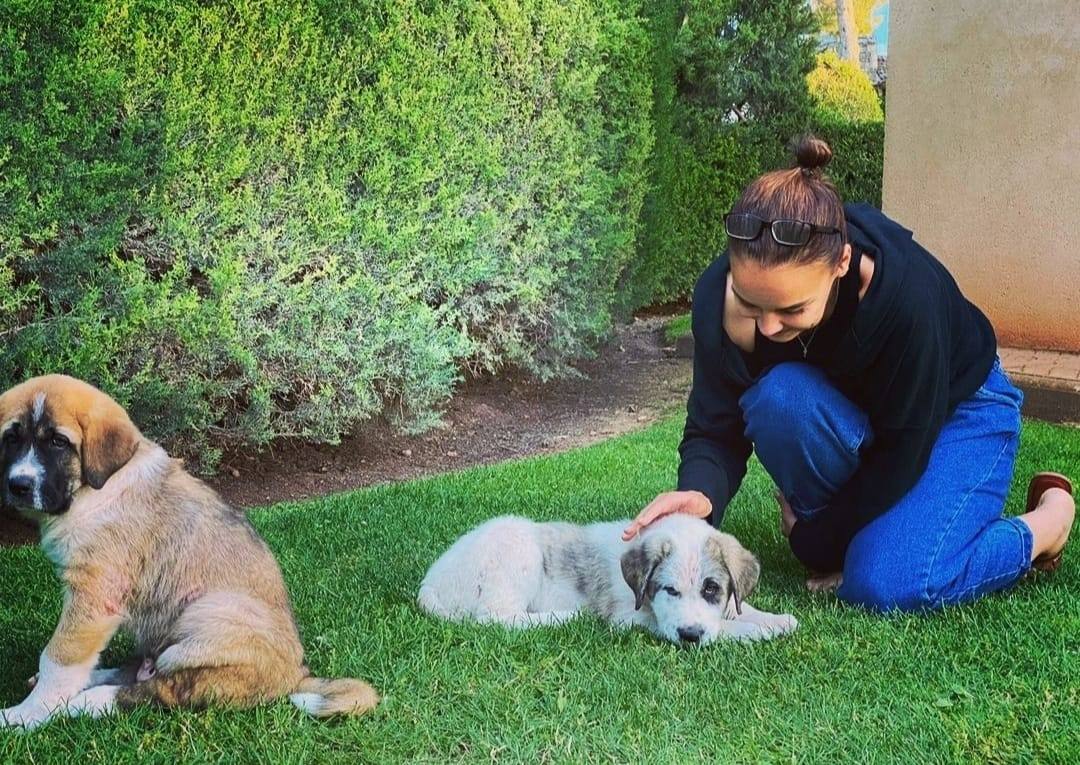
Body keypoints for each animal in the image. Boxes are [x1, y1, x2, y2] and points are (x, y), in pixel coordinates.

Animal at [0, 376, 380, 730]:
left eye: (58, 442)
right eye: (11, 438)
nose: (18, 486)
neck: (92, 492)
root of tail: (299, 674)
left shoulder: (94, 596)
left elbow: (58, 658)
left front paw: (28, 714)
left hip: (208, 613)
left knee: (165, 689)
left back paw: (85, 701)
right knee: (139, 671)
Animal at [416, 510, 799, 643]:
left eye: (711, 590)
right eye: (669, 591)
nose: (690, 635)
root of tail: (431, 582)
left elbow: (734, 608)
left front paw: (775, 619)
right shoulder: (630, 618)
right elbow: (725, 628)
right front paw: (753, 630)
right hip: (518, 547)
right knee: (495, 617)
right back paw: (564, 616)